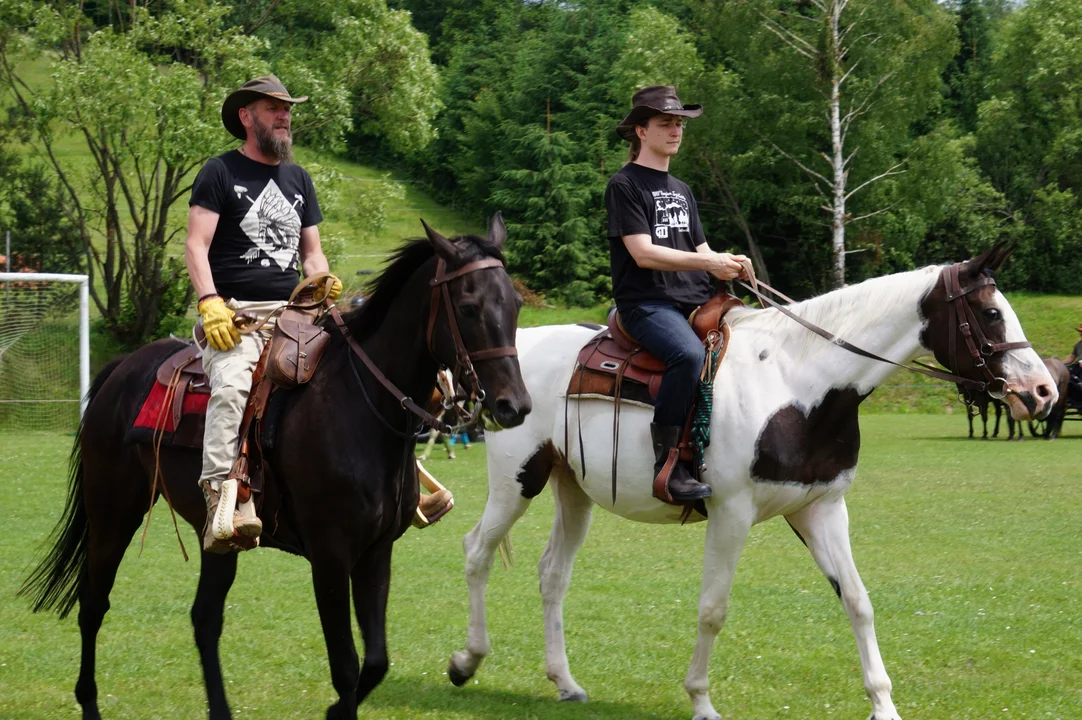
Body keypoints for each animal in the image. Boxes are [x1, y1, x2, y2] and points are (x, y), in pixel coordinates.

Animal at [22, 217, 532, 718]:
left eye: (515, 304)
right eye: (468, 307)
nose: (515, 406)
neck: (358, 405)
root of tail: (122, 368)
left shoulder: (376, 553)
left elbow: (376, 662)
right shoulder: (330, 558)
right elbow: (346, 668)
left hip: (215, 538)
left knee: (204, 619)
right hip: (113, 512)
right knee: (93, 603)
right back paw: (90, 702)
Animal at [445, 244, 1056, 714]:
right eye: (991, 313)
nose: (1044, 392)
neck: (799, 384)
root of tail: (511, 354)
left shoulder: (821, 508)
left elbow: (858, 600)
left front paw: (884, 705)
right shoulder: (731, 512)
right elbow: (713, 609)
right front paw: (700, 700)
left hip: (573, 488)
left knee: (553, 574)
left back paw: (565, 682)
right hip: (516, 480)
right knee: (475, 551)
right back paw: (466, 661)